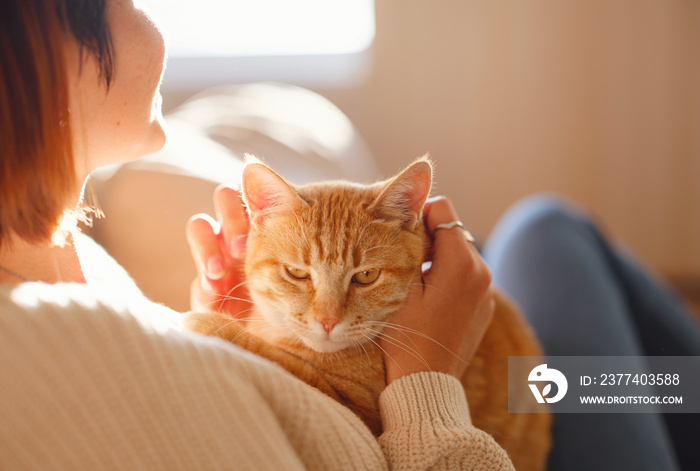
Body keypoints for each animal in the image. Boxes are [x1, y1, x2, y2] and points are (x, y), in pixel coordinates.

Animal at [185, 157, 552, 470]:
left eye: (365, 276)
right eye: (297, 273)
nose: (328, 321)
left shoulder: (363, 418)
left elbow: (284, 363)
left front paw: (210, 323)